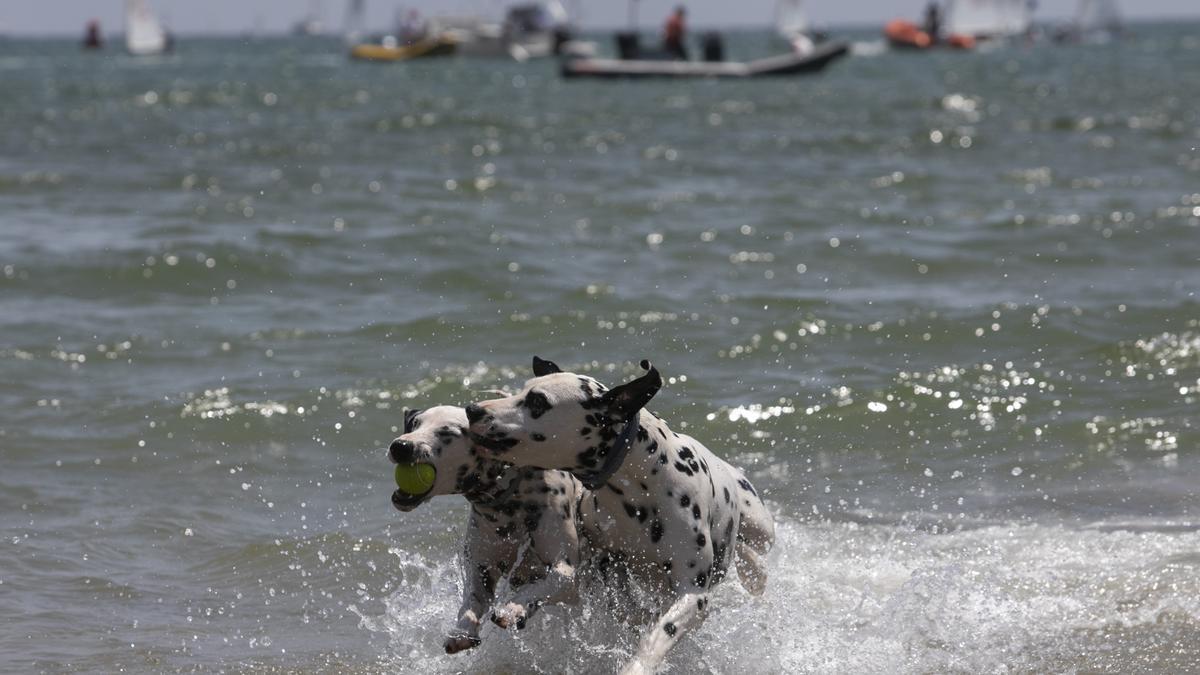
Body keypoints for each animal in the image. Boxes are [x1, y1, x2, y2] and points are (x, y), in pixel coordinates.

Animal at [386, 401, 588, 648]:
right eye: (415, 424)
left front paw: (513, 609)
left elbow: (544, 585)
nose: (401, 446)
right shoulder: (481, 568)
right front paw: (463, 630)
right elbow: (473, 598)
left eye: (446, 433)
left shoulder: (566, 572)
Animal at [463, 355, 772, 667]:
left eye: (538, 401)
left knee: (752, 546)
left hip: (762, 529)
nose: (473, 410)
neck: (638, 488)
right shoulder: (606, 560)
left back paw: (754, 571)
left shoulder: (692, 594)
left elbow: (660, 633)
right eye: (523, 389)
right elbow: (621, 604)